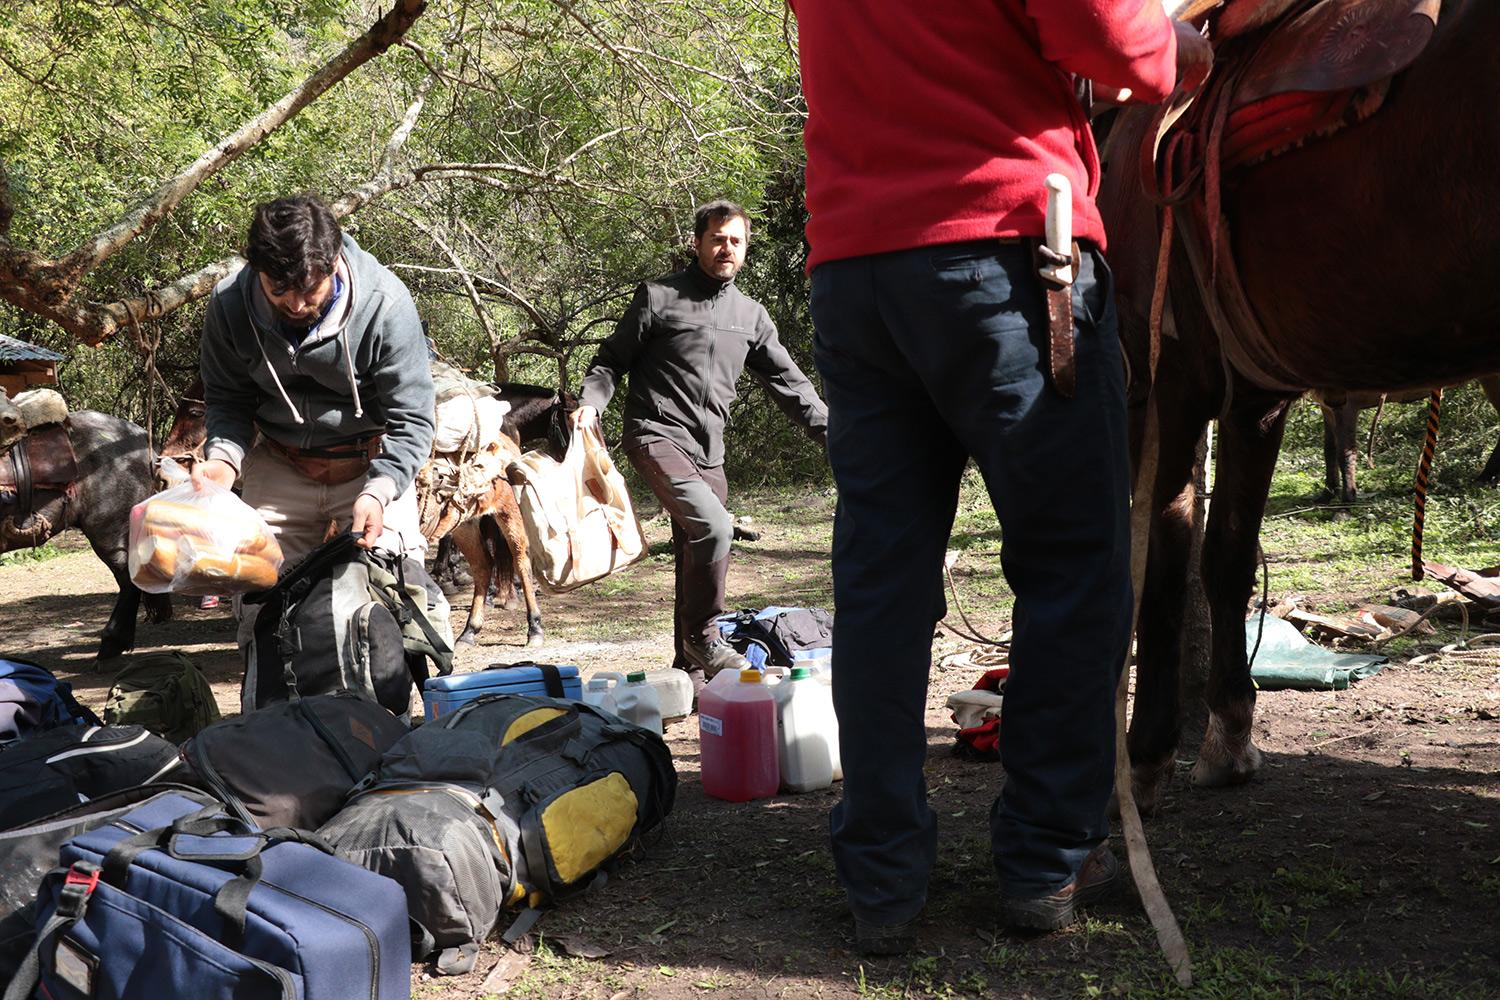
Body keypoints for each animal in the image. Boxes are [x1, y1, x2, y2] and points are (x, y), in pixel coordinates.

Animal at [1098, 0, 1500, 815]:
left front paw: (1146, 757)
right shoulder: (1252, 397)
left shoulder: (1161, 385)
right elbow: (1226, 556)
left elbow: (1162, 566)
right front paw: (1229, 741)